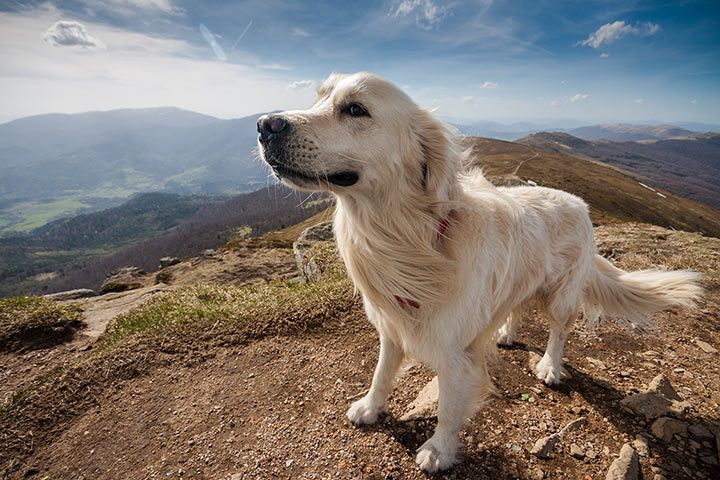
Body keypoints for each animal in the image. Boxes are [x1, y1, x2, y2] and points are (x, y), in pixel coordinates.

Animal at [256, 72, 700, 472]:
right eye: (318, 98)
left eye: (355, 109)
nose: (264, 125)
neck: (409, 237)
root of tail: (580, 203)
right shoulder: (392, 326)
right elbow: (381, 373)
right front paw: (370, 407)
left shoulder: (456, 354)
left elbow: (449, 408)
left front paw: (439, 450)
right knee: (516, 306)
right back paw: (506, 332)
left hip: (562, 295)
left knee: (560, 330)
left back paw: (550, 366)